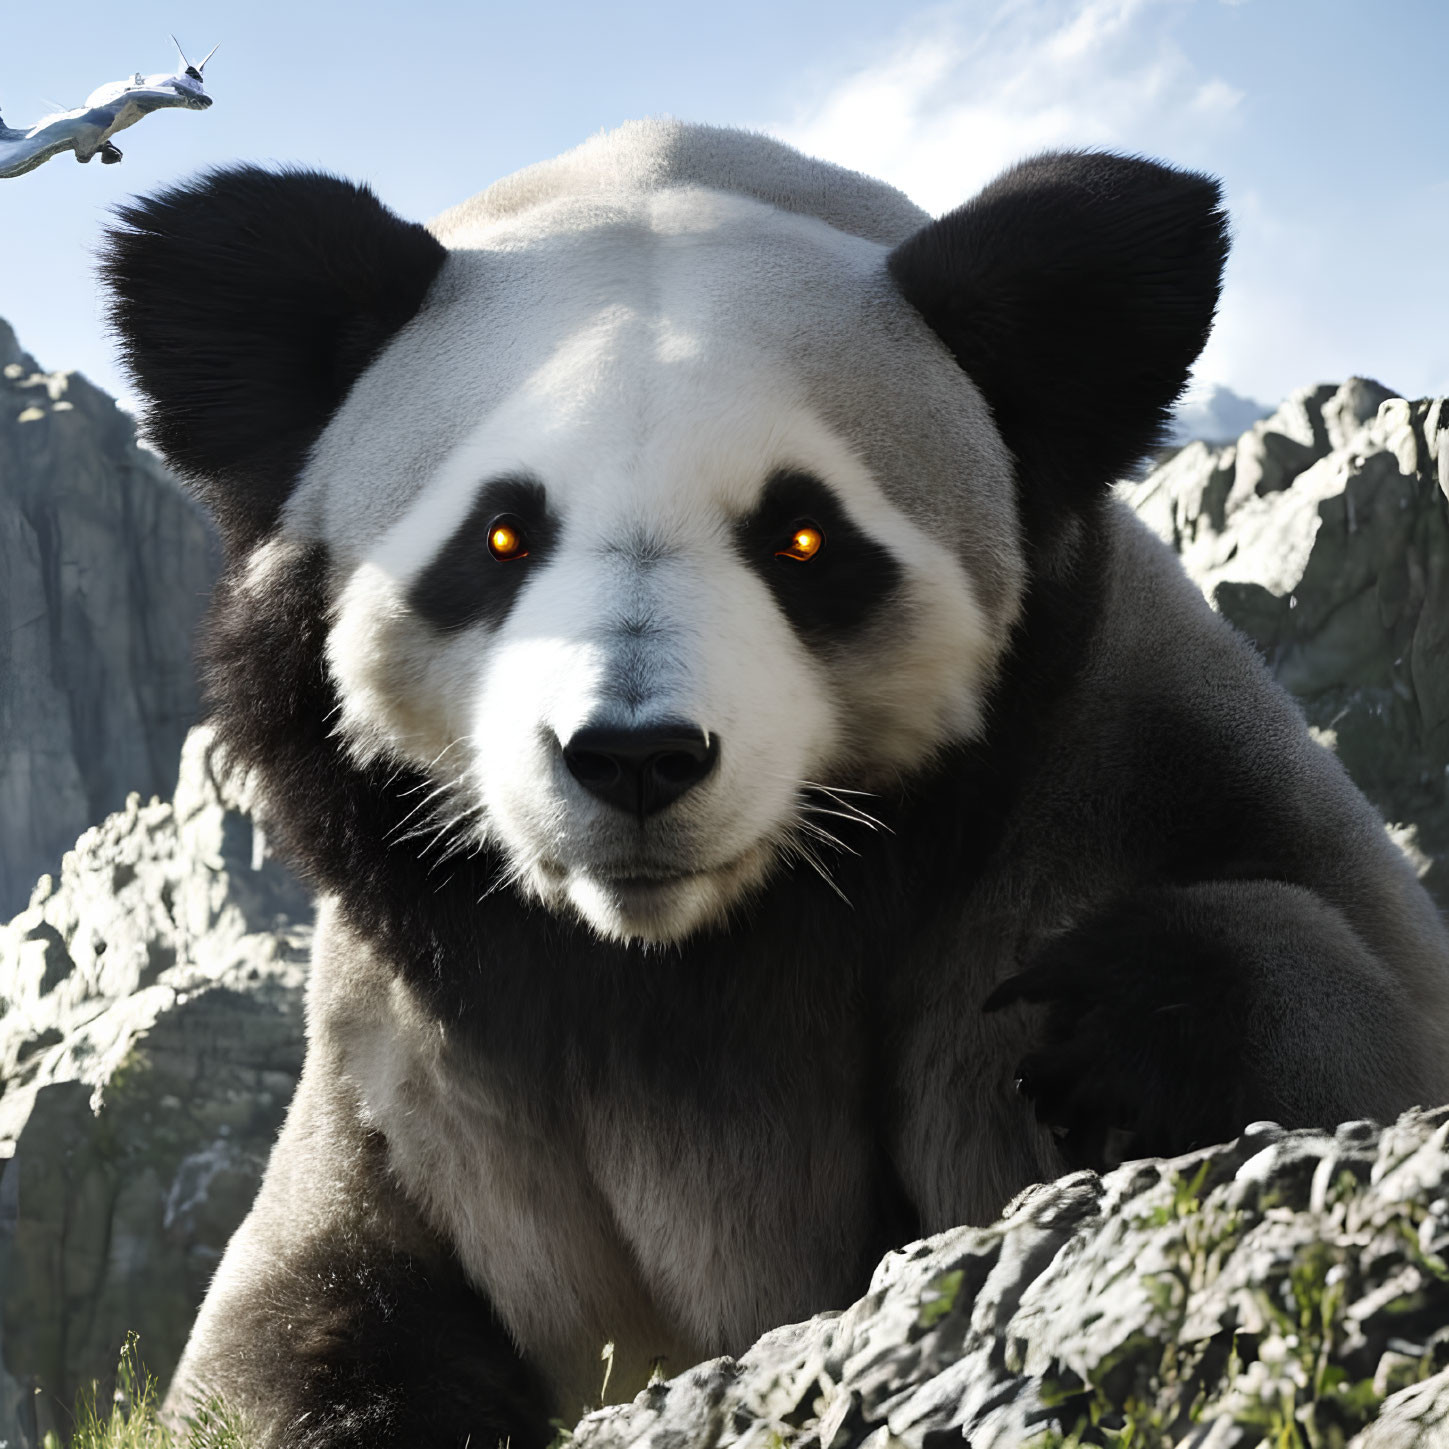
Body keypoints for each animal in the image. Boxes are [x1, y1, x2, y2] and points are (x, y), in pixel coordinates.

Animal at [102, 121, 1449, 1449]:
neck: (678, 957)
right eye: (501, 534)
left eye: (803, 537)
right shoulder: (407, 1080)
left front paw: (1121, 1030)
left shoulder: (1118, 768)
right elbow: (290, 1336)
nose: (635, 756)